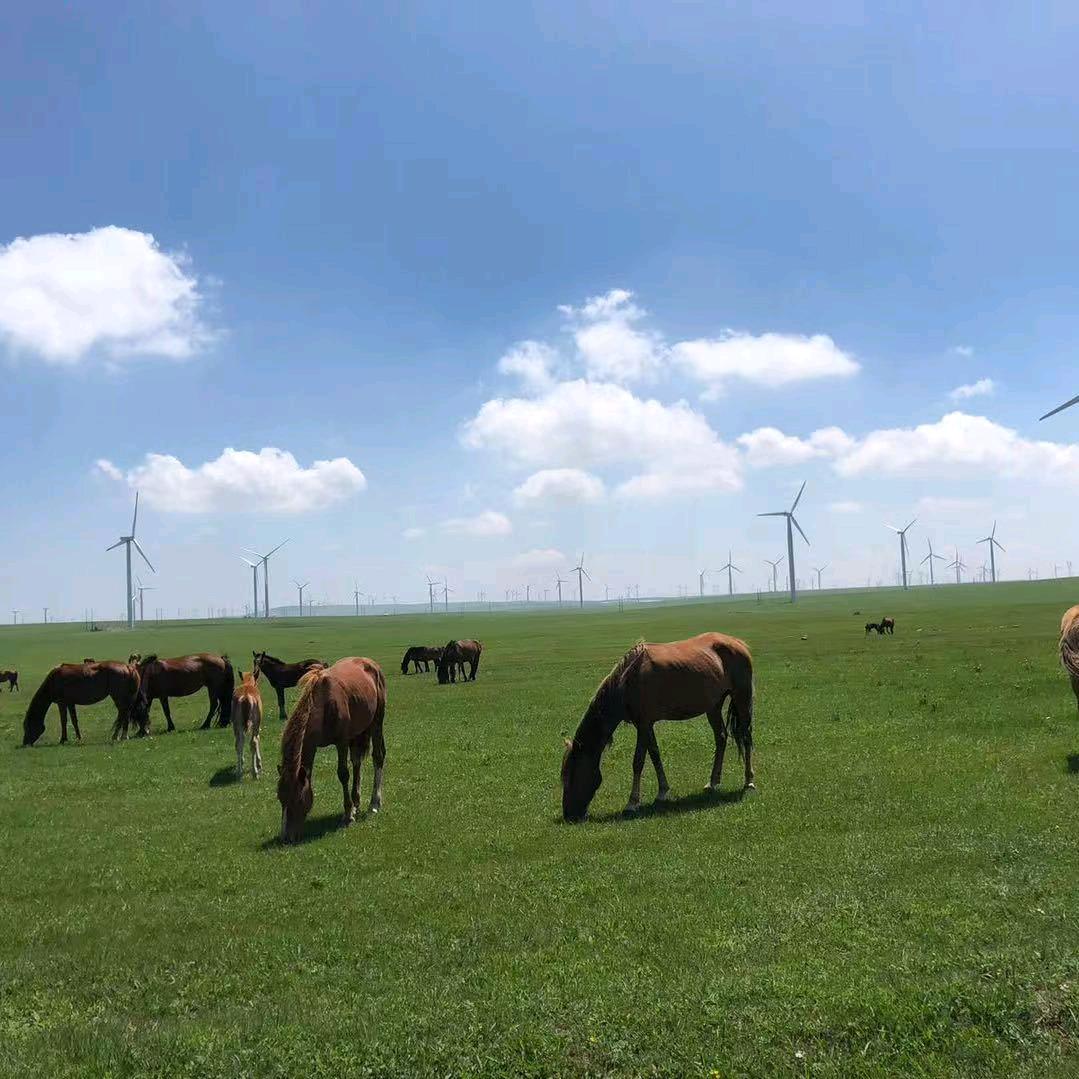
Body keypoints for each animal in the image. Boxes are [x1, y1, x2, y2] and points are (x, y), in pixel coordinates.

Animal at [277, 657, 387, 844]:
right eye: (280, 798)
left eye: (297, 799)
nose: (286, 837)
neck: (323, 705)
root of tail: (372, 664)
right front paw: (351, 810)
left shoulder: (341, 742)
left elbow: (343, 774)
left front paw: (347, 816)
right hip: (356, 732)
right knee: (357, 761)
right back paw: (357, 802)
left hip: (376, 723)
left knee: (377, 757)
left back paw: (374, 803)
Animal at [561, 633, 755, 822]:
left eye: (571, 776)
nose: (569, 815)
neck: (628, 681)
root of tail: (738, 642)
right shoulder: (646, 725)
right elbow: (655, 755)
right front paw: (662, 792)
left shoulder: (643, 724)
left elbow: (638, 761)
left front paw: (632, 803)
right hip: (713, 706)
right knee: (721, 737)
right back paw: (713, 782)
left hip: (742, 697)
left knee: (745, 737)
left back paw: (749, 781)